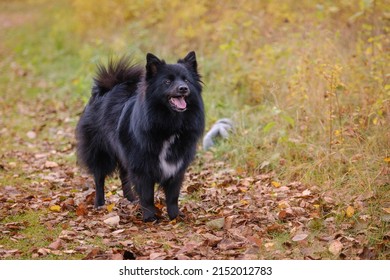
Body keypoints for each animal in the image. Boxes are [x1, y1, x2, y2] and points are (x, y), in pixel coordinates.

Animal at [74, 51, 206, 222]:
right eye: (167, 81)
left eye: (186, 80)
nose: (183, 88)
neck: (169, 124)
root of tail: (106, 89)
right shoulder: (141, 166)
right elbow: (147, 195)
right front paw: (150, 217)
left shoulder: (176, 167)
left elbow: (172, 196)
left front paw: (174, 217)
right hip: (100, 152)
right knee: (99, 178)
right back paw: (99, 204)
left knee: (124, 176)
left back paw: (130, 200)